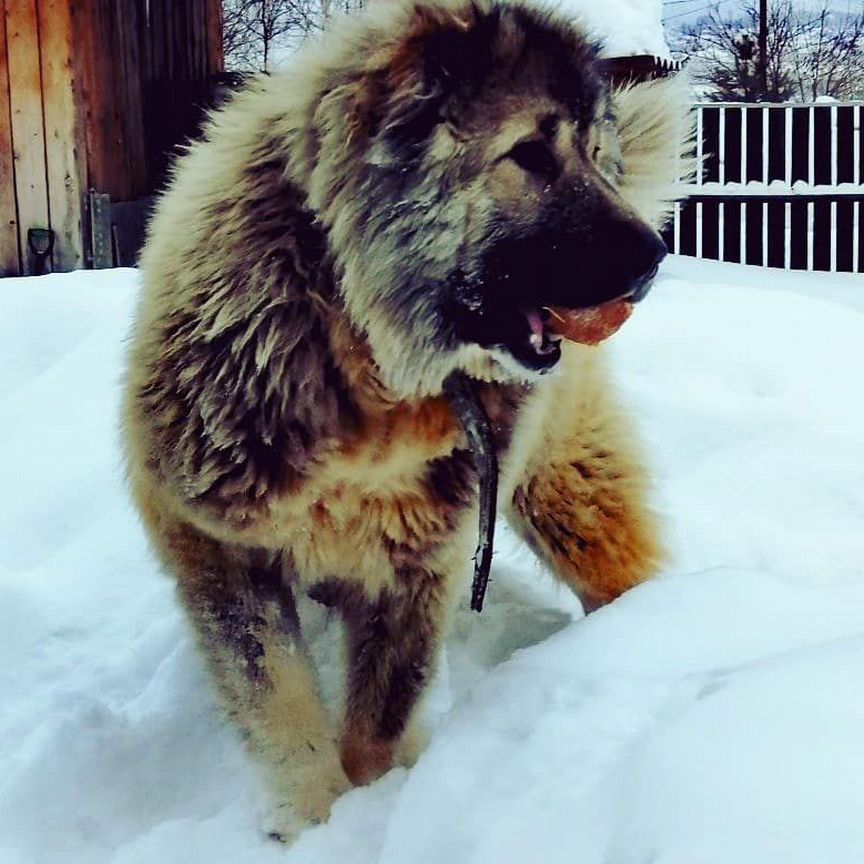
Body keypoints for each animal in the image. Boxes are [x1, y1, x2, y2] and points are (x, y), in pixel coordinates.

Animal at [123, 0, 688, 840]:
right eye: (530, 154)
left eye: (595, 155)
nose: (654, 257)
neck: (364, 360)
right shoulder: (220, 547)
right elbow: (280, 703)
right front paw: (312, 821)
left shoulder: (421, 566)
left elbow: (381, 722)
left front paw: (369, 805)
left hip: (565, 495)